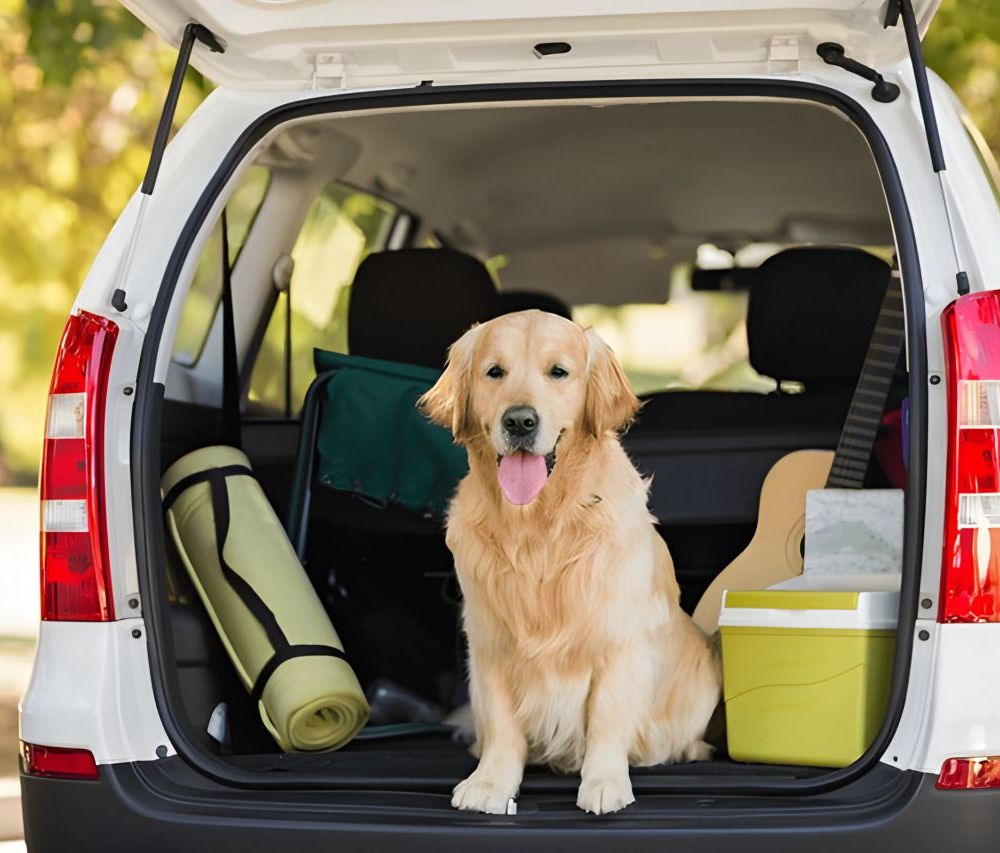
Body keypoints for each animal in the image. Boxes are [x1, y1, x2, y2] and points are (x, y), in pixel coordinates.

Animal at [418, 312, 724, 812]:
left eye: (558, 372)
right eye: (494, 371)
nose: (520, 421)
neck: (539, 526)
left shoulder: (618, 639)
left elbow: (607, 717)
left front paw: (604, 782)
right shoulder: (489, 640)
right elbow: (502, 724)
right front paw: (491, 783)